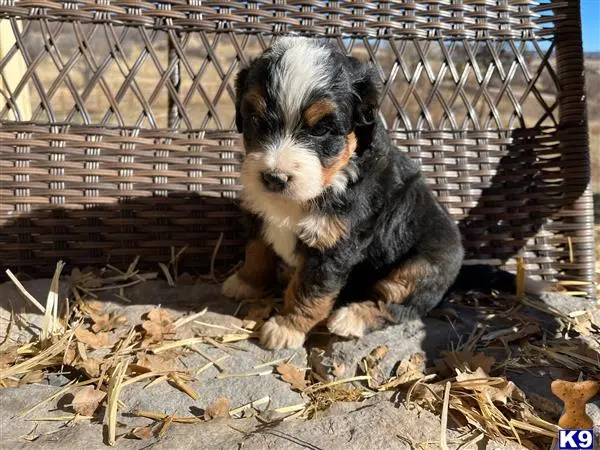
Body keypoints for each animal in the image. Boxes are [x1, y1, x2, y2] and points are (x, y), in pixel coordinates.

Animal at [221, 37, 552, 350]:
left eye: (320, 131)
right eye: (255, 120)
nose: (274, 178)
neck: (332, 178)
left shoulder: (334, 245)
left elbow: (310, 290)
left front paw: (287, 327)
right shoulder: (261, 215)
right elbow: (257, 251)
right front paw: (244, 282)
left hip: (421, 266)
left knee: (396, 305)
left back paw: (350, 318)